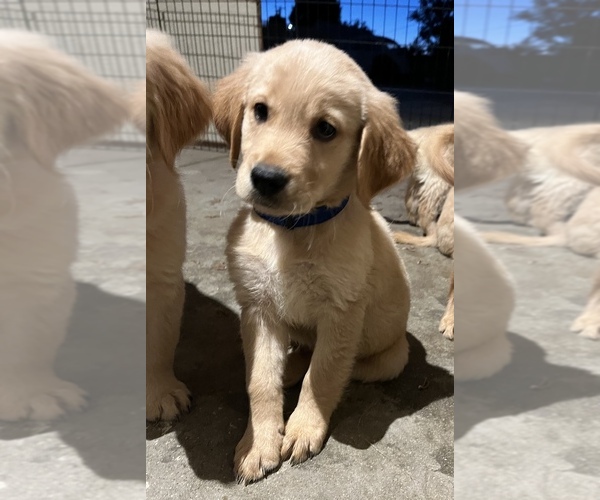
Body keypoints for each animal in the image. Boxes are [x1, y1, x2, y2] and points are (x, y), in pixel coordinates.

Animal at [214, 40, 418, 484]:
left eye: (325, 129)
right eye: (260, 110)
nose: (266, 178)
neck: (293, 230)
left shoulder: (341, 311)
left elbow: (322, 374)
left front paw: (304, 428)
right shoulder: (257, 309)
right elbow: (259, 381)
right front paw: (258, 442)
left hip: (390, 357)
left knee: (339, 366)